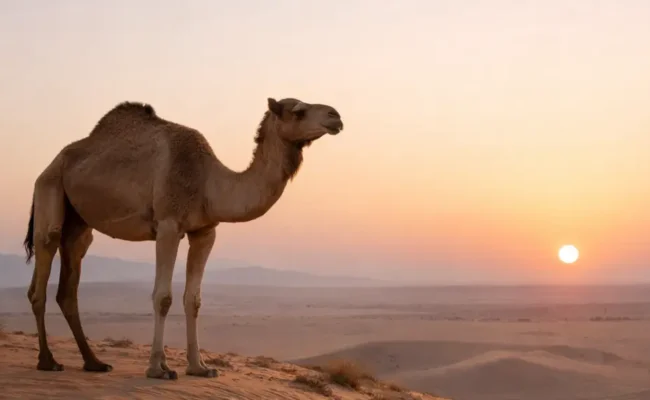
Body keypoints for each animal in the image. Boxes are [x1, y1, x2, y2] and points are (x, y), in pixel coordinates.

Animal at [22, 97, 343, 379]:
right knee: (43, 264)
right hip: (49, 189)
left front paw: (199, 367)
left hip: (79, 224)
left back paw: (94, 363)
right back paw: (48, 361)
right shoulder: (167, 225)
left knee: (69, 281)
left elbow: (194, 299)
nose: (336, 116)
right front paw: (158, 369)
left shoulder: (205, 232)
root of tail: (49, 166)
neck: (208, 182)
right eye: (298, 111)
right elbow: (163, 297)